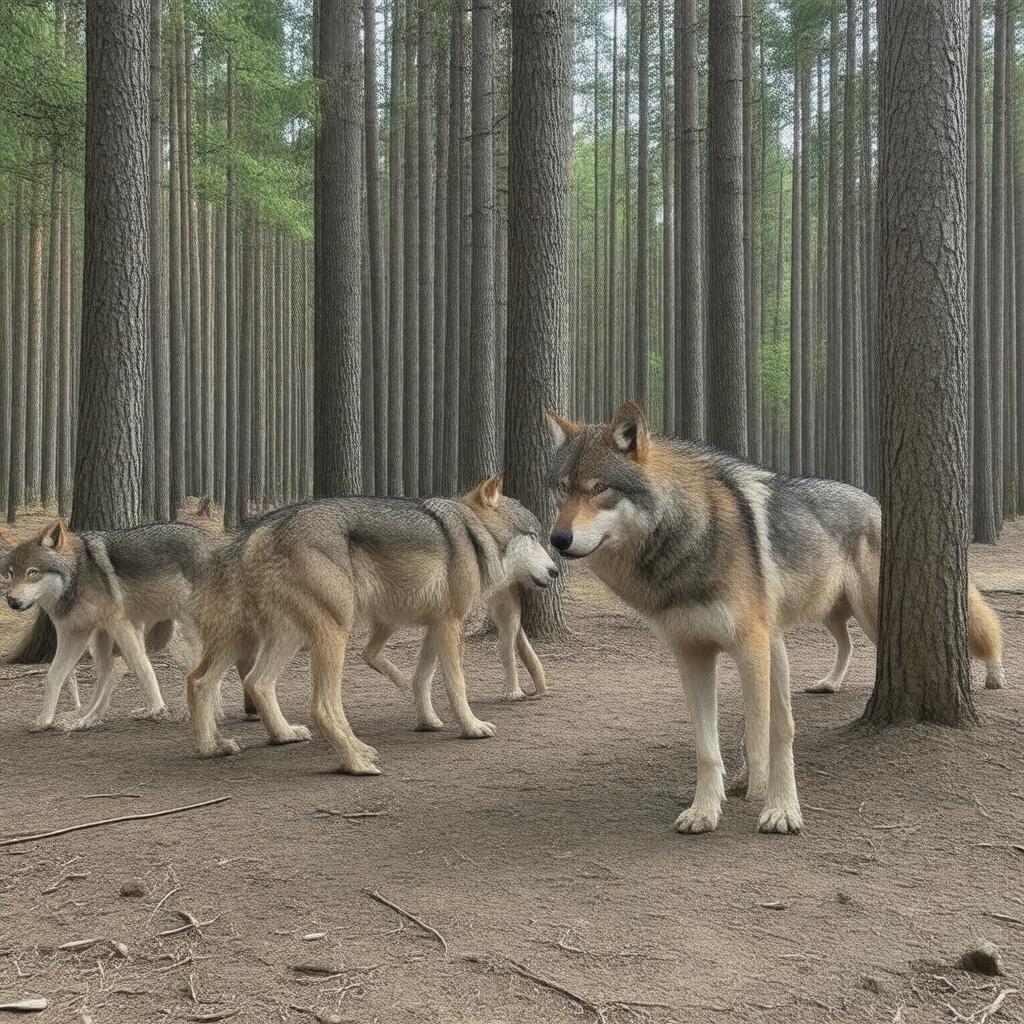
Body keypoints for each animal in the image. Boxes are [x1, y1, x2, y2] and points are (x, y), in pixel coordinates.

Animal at [1, 520, 217, 731]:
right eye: (11, 573)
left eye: (32, 572)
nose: (11, 600)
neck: (77, 576)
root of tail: (213, 539)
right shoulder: (75, 633)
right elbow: (53, 675)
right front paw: (45, 720)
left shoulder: (118, 624)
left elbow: (142, 667)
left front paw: (158, 707)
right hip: (108, 640)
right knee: (112, 674)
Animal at [184, 476, 558, 773]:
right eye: (533, 536)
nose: (555, 571)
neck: (473, 534)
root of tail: (264, 526)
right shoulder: (452, 625)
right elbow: (457, 686)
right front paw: (472, 727)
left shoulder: (435, 625)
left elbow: (421, 679)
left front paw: (427, 721)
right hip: (332, 632)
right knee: (322, 707)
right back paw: (356, 762)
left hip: (270, 637)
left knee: (225, 680)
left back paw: (232, 744)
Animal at [545, 402, 1005, 836]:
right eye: (564, 489)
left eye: (600, 488)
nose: (557, 539)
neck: (688, 540)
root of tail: (874, 500)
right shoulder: (693, 655)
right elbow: (708, 747)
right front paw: (705, 810)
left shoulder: (752, 646)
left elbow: (772, 731)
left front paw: (778, 808)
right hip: (814, 624)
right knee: (844, 646)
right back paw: (828, 684)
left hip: (866, 620)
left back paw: (992, 674)